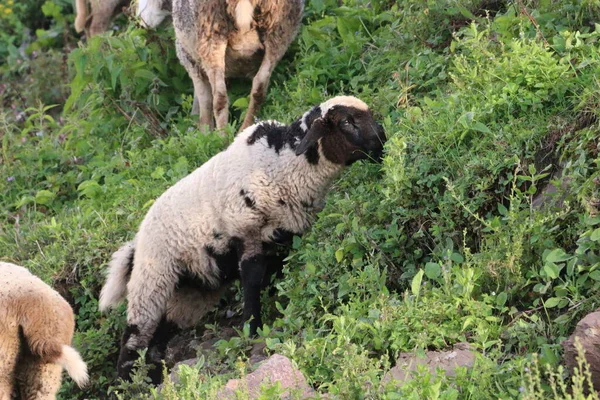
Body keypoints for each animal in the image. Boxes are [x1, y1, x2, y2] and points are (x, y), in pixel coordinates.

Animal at [98, 95, 386, 382]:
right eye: (346, 122)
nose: (382, 144)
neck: (282, 163)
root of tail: (136, 243)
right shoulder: (246, 231)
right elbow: (253, 279)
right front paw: (252, 329)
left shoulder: (288, 233)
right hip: (153, 276)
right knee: (135, 334)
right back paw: (128, 382)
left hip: (192, 289)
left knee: (160, 333)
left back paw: (154, 377)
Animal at [137, 0, 304, 133]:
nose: (142, 23)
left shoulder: (189, 58)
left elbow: (204, 100)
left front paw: (204, 134)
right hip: (279, 31)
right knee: (259, 86)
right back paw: (244, 129)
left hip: (210, 33)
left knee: (220, 96)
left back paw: (221, 138)